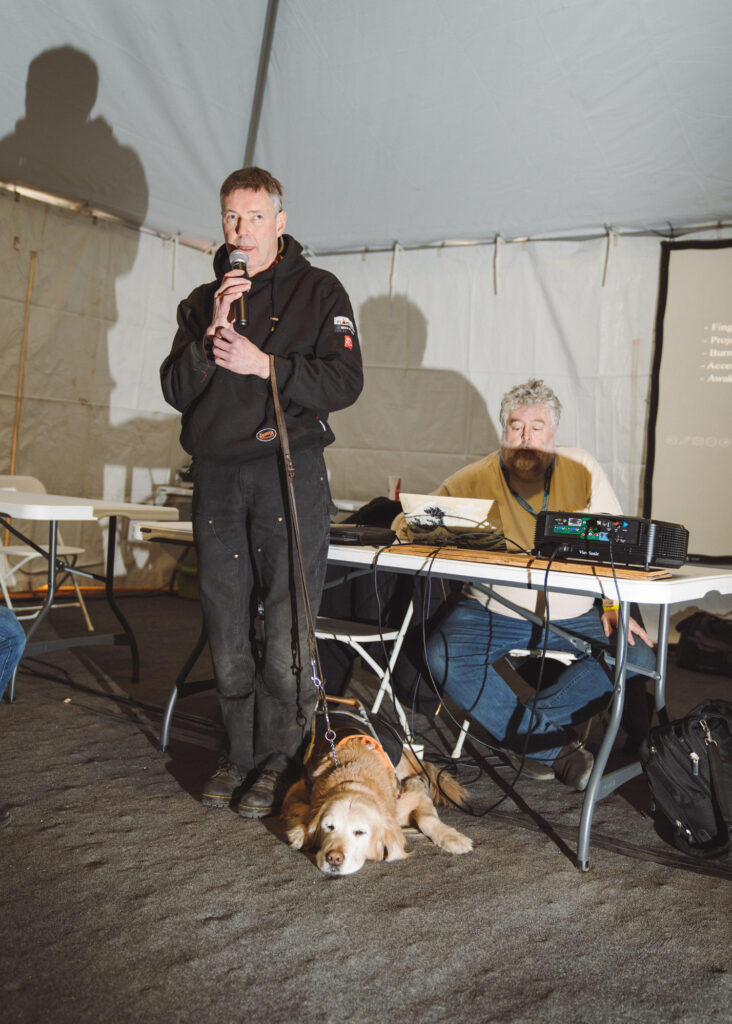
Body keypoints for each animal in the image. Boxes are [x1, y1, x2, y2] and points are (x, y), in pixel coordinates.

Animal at [280, 724, 475, 876]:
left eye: (360, 832)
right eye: (329, 826)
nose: (334, 858)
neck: (355, 776)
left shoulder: (409, 801)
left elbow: (427, 818)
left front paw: (454, 839)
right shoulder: (301, 787)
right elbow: (298, 808)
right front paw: (299, 832)